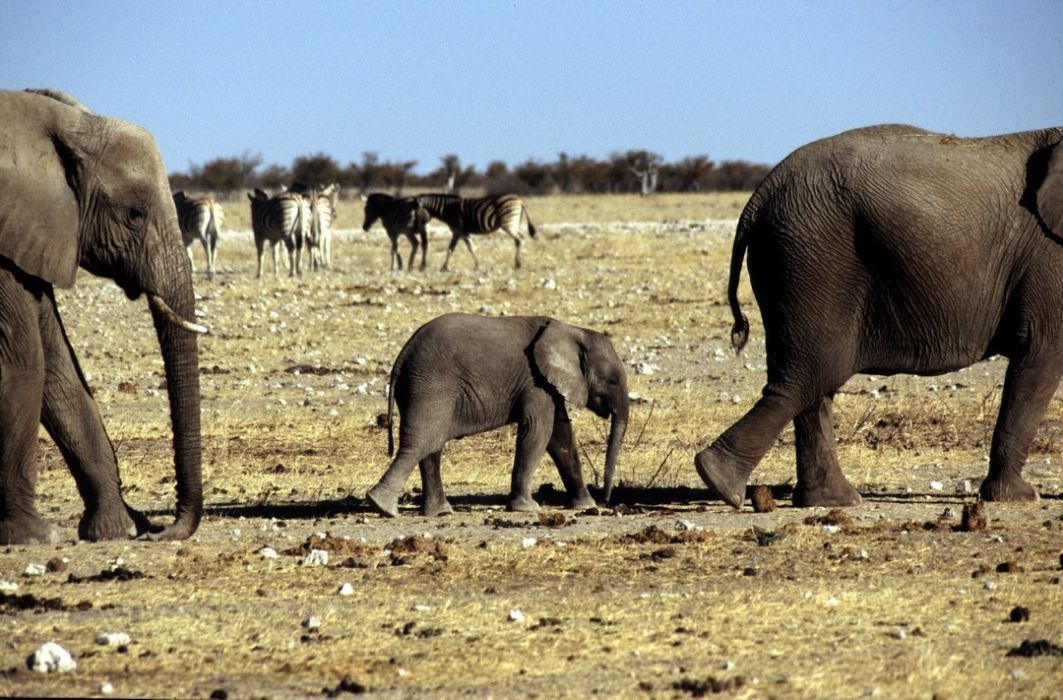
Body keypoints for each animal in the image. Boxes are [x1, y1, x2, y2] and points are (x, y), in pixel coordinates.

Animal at [0, 89, 205, 548]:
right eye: (134, 214)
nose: (161, 532)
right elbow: (25, 363)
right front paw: (35, 537)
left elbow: (59, 366)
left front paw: (118, 528)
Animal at [369, 314, 625, 518]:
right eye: (612, 381)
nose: (606, 501)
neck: (572, 331)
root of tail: (401, 358)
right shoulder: (535, 381)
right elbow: (538, 431)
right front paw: (526, 509)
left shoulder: (549, 385)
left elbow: (561, 437)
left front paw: (585, 505)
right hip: (430, 388)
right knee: (421, 443)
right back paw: (382, 506)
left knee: (431, 447)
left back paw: (438, 512)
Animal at [697, 124, 1063, 509]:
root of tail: (759, 195)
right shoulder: (1050, 261)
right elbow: (1041, 353)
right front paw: (1019, 498)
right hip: (812, 260)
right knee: (809, 376)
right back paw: (721, 482)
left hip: (797, 259)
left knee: (812, 382)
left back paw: (827, 500)